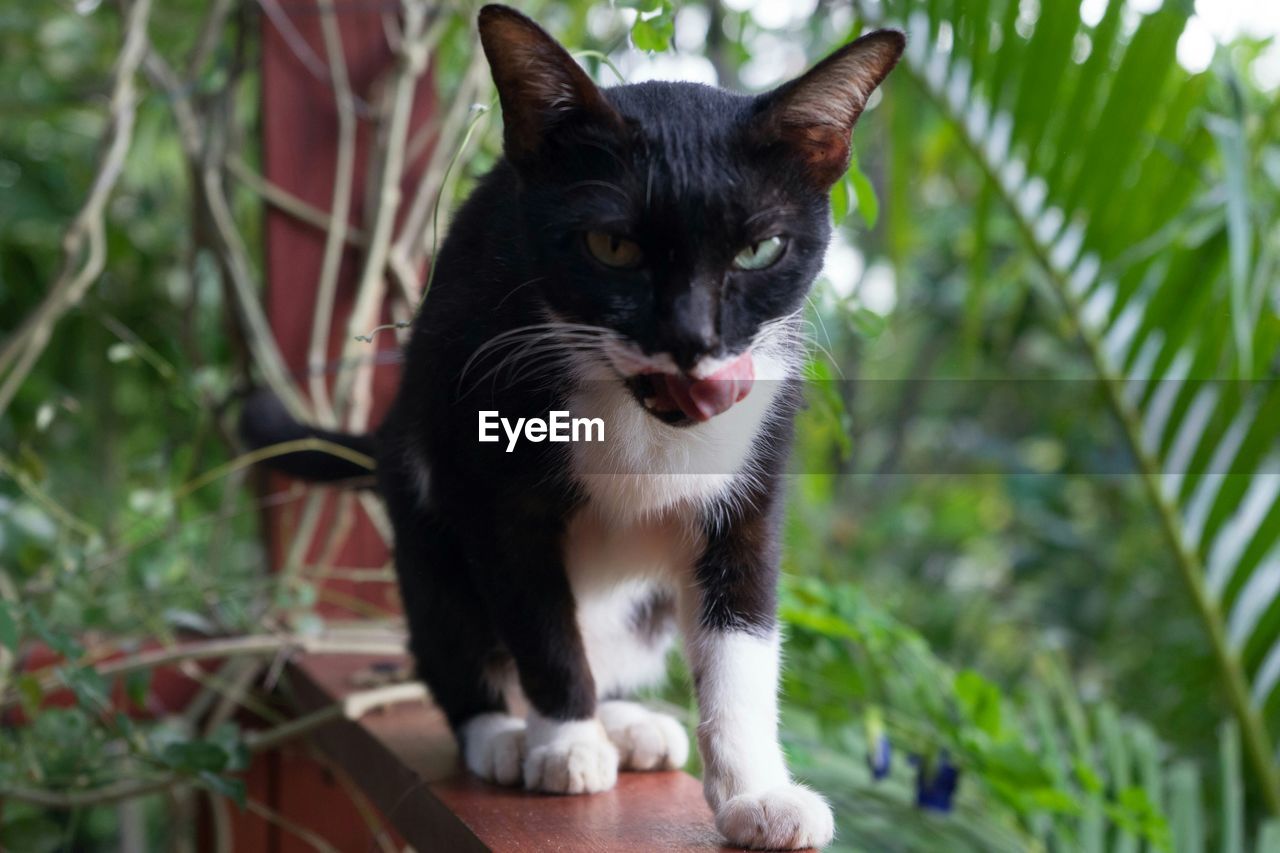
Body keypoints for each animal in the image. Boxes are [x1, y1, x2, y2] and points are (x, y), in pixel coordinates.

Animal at [244, 4, 906, 845]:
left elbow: (744, 634)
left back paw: (628, 721)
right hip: (423, 497)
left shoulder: (756, 471)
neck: (640, 410)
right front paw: (564, 742)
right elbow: (539, 620)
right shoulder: (493, 486)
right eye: (612, 245)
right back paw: (502, 731)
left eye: (759, 249)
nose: (691, 338)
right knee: (450, 622)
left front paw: (759, 791)